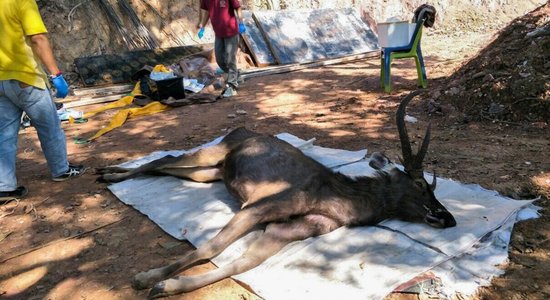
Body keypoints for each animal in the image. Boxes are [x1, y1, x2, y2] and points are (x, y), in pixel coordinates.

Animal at [98, 90, 458, 298]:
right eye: (421, 185)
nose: (448, 218)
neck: (336, 201)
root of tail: (240, 129)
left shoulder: (287, 229)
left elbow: (241, 264)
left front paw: (166, 286)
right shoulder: (257, 207)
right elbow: (210, 248)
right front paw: (146, 278)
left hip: (214, 172)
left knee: (172, 168)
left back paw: (111, 174)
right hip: (215, 149)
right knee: (166, 158)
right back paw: (108, 173)